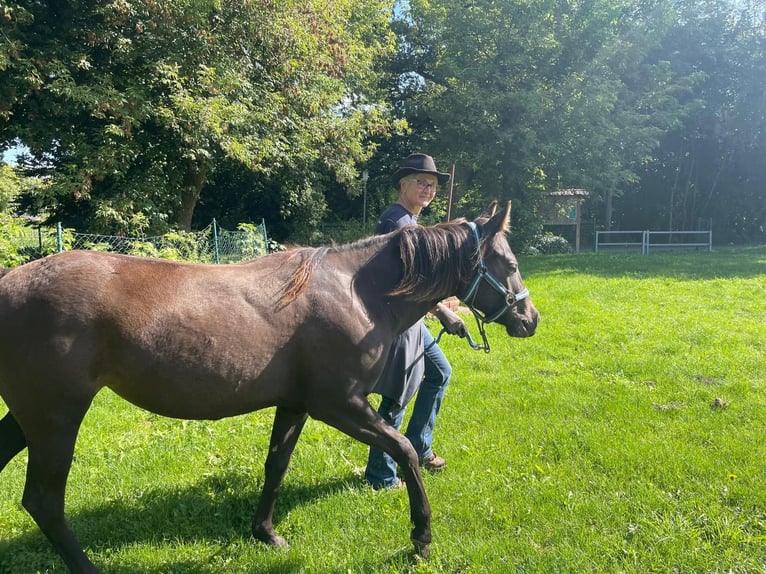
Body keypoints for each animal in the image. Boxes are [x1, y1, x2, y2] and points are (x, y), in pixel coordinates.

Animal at [0, 201, 539, 573]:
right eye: (510, 265)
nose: (530, 319)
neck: (357, 293)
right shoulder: (339, 405)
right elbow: (405, 449)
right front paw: (421, 537)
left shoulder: (295, 405)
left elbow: (275, 467)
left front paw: (265, 533)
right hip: (56, 419)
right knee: (44, 501)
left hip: (30, 419)